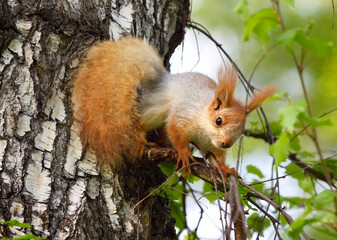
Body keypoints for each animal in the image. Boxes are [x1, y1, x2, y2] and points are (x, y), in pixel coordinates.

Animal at [71, 37, 276, 176]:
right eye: (219, 121)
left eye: (241, 131)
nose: (226, 143)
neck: (204, 126)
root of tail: (161, 82)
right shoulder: (183, 114)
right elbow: (176, 132)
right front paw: (184, 153)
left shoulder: (212, 145)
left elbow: (216, 157)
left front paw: (225, 169)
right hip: (155, 110)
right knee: (140, 122)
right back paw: (140, 140)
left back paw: (162, 142)